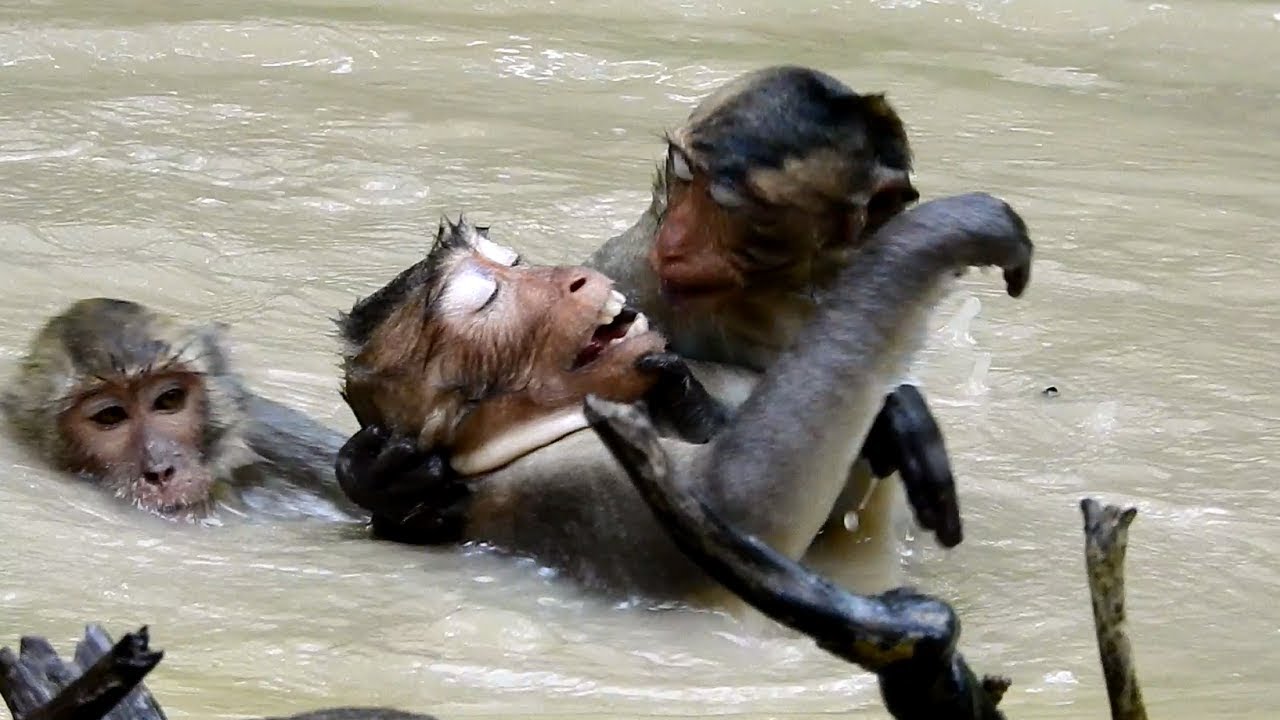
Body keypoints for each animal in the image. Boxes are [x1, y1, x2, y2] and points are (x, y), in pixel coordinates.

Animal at [335, 192, 1032, 600]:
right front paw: (944, 231)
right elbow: (736, 508)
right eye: (487, 299)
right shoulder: (558, 484)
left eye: (513, 264)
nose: (575, 278)